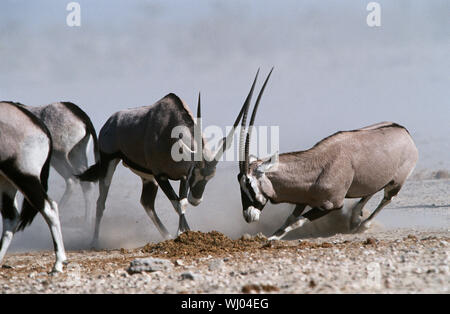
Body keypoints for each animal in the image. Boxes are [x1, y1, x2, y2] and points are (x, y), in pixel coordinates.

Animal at [78, 92, 250, 244]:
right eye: (195, 174)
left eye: (210, 177)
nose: (196, 200)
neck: (169, 129)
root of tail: (110, 121)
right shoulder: (161, 175)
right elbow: (176, 203)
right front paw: (181, 233)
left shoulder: (182, 176)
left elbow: (182, 202)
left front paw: (185, 232)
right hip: (109, 163)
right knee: (101, 202)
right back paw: (94, 241)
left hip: (147, 177)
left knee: (147, 202)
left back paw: (167, 236)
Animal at [236, 73, 418, 240]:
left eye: (249, 184)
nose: (248, 216)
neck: (315, 169)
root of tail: (403, 131)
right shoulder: (303, 200)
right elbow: (290, 218)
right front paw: (272, 236)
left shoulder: (331, 205)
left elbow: (297, 221)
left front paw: (271, 239)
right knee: (370, 192)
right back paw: (355, 218)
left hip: (396, 182)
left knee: (387, 198)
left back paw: (363, 225)